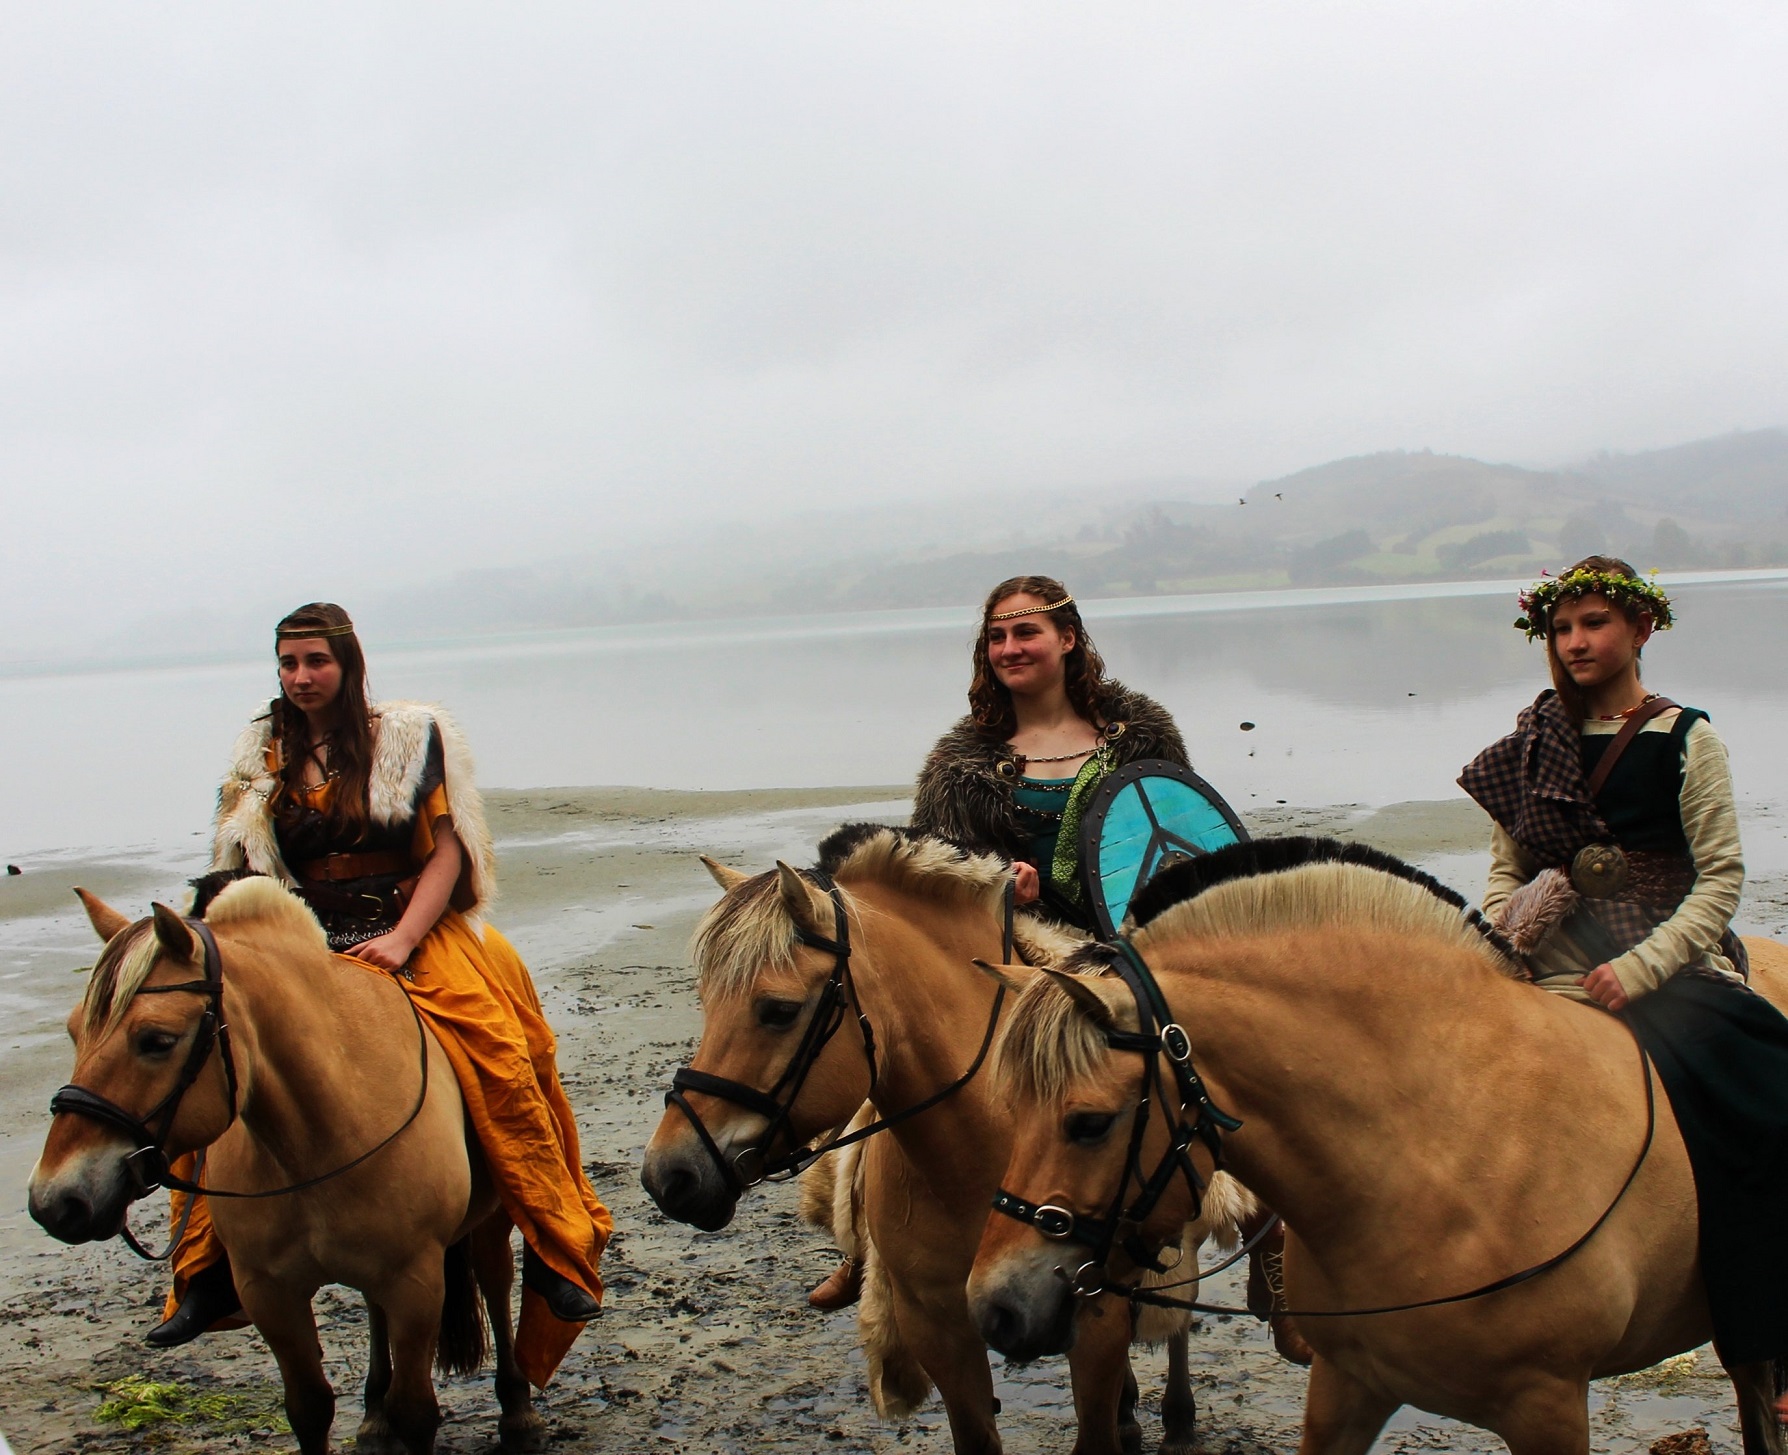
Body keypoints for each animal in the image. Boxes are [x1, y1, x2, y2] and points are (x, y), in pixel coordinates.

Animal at [24, 875, 539, 1455]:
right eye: (73, 1032)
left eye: (156, 1040)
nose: (54, 1201)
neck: (316, 1137)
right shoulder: (270, 1294)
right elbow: (309, 1409)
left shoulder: (416, 1284)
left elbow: (417, 1412)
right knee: (374, 1308)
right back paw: (374, 1413)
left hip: (492, 1215)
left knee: (495, 1279)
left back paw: (517, 1411)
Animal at [643, 832, 1258, 1455]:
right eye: (705, 999)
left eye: (778, 1010)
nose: (668, 1175)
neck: (975, 1162)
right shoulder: (938, 1330)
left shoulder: (1098, 1325)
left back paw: (1177, 1414)